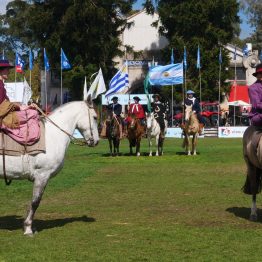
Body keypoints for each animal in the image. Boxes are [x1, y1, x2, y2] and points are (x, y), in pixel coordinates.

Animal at [0, 94, 98, 235]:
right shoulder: (42, 175)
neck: (52, 135)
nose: (96, 141)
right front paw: (28, 228)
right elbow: (35, 202)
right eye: (95, 117)